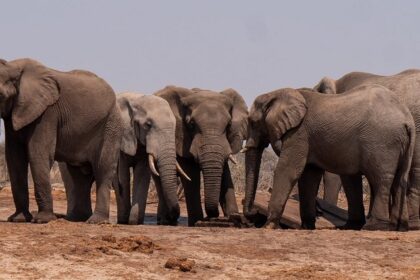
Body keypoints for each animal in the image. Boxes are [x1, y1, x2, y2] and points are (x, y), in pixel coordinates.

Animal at [0, 57, 121, 223]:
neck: (12, 67)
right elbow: (14, 158)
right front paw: (18, 219)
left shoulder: (48, 113)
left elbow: (39, 154)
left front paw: (42, 220)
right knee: (79, 176)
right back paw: (77, 219)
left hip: (111, 125)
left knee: (103, 169)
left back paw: (96, 221)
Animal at [112, 92, 189, 225]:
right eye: (148, 125)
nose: (172, 219)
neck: (137, 100)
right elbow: (123, 175)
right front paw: (125, 221)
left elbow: (142, 174)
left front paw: (135, 221)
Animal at [154, 86, 248, 226]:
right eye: (191, 124)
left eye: (229, 125)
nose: (213, 216)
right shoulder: (182, 138)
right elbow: (190, 173)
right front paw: (196, 221)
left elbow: (225, 172)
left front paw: (234, 217)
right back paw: (165, 221)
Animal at [244, 86, 416, 231]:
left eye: (253, 122)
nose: (251, 214)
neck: (278, 93)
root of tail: (407, 119)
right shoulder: (308, 138)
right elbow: (309, 177)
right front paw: (307, 227)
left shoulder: (299, 133)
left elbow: (288, 170)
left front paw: (269, 226)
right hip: (399, 144)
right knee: (399, 180)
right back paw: (397, 227)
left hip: (382, 142)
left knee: (380, 180)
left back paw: (374, 226)